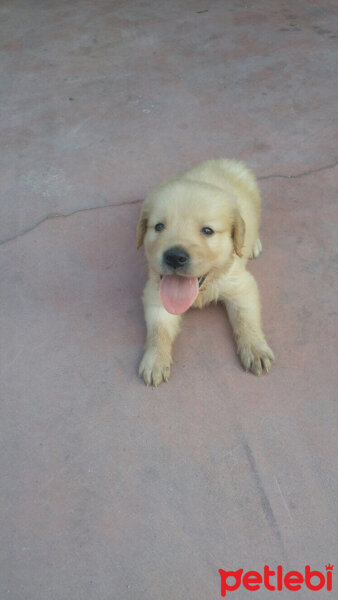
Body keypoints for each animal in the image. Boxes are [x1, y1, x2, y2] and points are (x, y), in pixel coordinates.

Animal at [136, 159, 274, 384]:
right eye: (159, 227)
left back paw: (253, 244)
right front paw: (155, 359)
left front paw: (255, 349)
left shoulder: (241, 284)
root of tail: (221, 160)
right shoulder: (156, 293)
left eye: (207, 230)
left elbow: (246, 318)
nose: (174, 256)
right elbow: (158, 330)